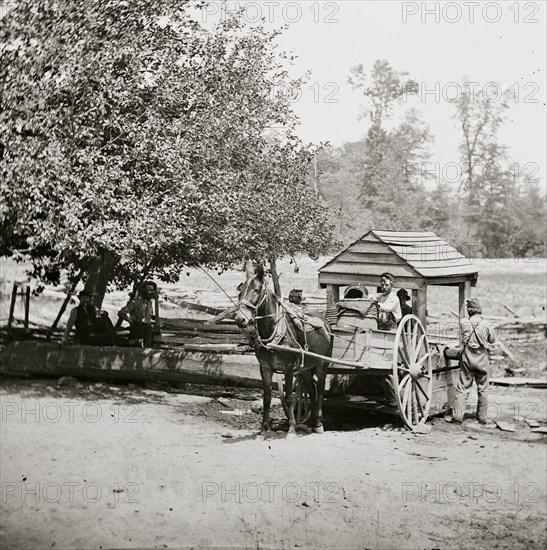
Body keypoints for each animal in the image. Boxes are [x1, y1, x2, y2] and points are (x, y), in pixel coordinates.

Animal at [233, 264, 332, 440]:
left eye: (257, 290)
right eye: (240, 290)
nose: (240, 319)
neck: (275, 331)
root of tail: (325, 321)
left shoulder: (289, 368)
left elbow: (290, 398)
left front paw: (291, 429)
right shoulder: (265, 368)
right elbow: (266, 398)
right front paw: (263, 429)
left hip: (322, 364)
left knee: (320, 390)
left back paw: (318, 424)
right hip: (305, 368)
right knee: (311, 391)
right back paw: (311, 423)